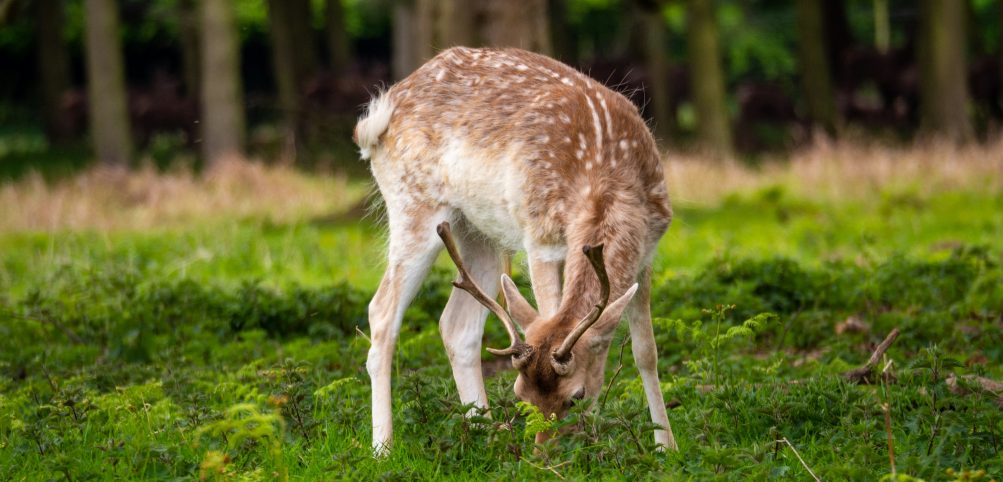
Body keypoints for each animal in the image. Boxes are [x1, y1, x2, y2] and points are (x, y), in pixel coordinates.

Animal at [353, 46, 674, 454]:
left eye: (577, 396)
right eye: (521, 394)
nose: (542, 455)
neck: (604, 176)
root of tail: (377, 117)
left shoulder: (648, 251)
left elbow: (646, 351)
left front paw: (666, 447)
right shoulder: (541, 238)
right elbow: (551, 313)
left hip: (479, 232)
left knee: (456, 325)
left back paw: (484, 434)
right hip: (412, 206)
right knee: (381, 311)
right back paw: (384, 449)